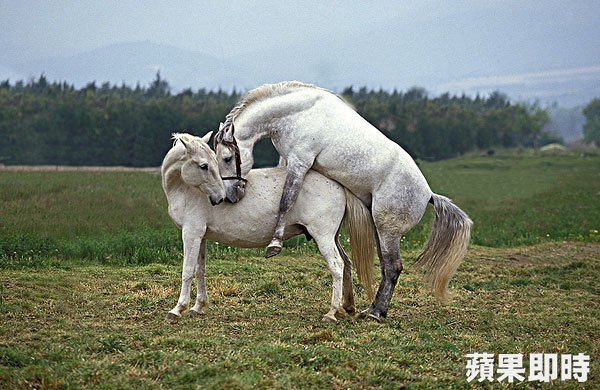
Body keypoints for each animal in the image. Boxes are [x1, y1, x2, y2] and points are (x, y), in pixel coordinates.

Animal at [159, 133, 376, 322]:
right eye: (204, 165)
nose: (220, 197)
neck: (185, 189)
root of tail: (339, 185)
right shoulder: (201, 236)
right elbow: (199, 270)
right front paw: (198, 306)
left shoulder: (191, 233)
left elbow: (187, 271)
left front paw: (178, 309)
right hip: (333, 238)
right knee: (346, 263)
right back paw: (347, 307)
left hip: (323, 237)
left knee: (337, 266)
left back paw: (331, 313)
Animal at [216, 80, 474, 322]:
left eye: (227, 158)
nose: (229, 196)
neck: (299, 112)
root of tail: (427, 194)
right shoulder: (288, 160)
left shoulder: (300, 161)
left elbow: (286, 201)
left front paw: (274, 244)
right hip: (381, 231)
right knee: (385, 266)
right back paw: (370, 309)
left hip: (387, 230)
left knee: (393, 267)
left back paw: (376, 313)